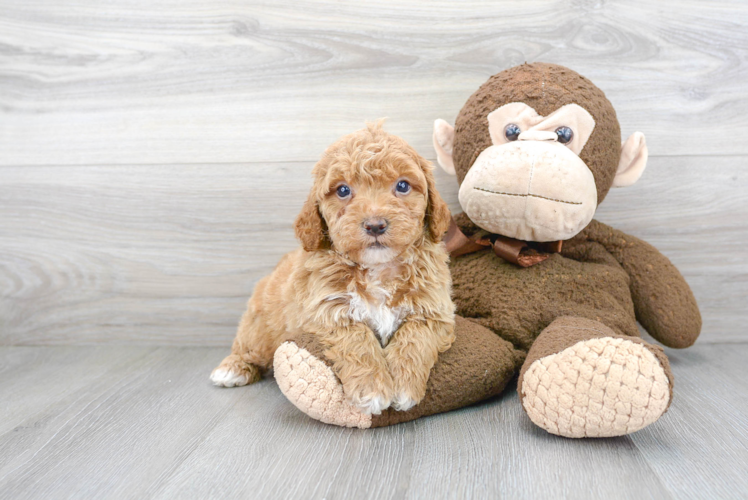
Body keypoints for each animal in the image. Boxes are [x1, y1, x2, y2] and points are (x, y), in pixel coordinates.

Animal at [210, 122, 456, 414]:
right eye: (343, 190)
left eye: (403, 185)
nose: (375, 225)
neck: (378, 269)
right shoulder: (327, 311)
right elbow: (358, 340)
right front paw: (372, 389)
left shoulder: (433, 310)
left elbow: (415, 337)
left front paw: (404, 384)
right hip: (259, 327)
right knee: (248, 347)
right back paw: (232, 369)